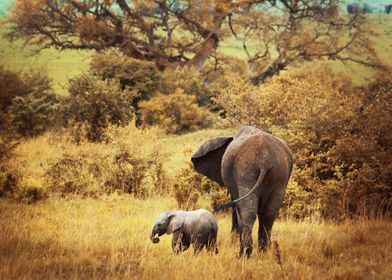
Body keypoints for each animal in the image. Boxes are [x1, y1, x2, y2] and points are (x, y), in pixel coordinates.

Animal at [191, 126, 292, 258]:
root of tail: (265, 159)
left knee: (247, 211)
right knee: (269, 214)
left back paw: (243, 254)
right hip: (280, 175)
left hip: (245, 170)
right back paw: (263, 254)